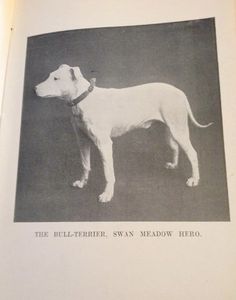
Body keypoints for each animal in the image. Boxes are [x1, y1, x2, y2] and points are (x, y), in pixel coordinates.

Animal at [34, 64, 212, 203]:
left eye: (56, 78)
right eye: (49, 76)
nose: (34, 88)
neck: (84, 99)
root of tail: (180, 92)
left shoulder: (104, 145)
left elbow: (108, 173)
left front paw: (107, 195)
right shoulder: (83, 141)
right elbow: (85, 164)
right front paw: (82, 183)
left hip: (179, 130)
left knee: (193, 153)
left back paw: (194, 180)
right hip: (170, 132)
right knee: (175, 147)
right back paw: (173, 165)